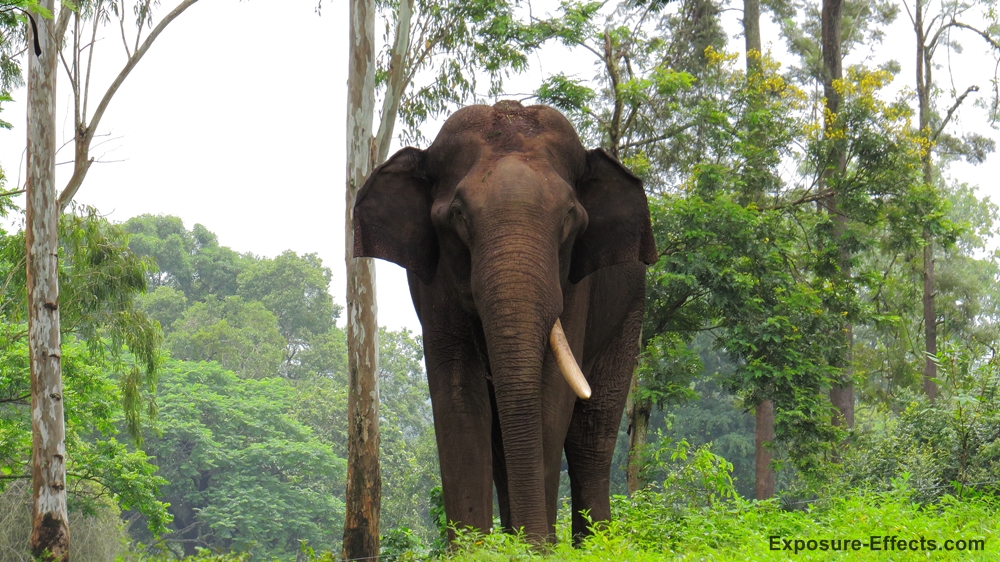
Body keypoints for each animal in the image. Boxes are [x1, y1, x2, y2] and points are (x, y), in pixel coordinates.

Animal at [353, 100, 657, 544]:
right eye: (458, 215)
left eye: (570, 216)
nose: (537, 541)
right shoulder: (433, 282)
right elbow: (459, 394)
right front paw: (477, 548)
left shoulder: (575, 283)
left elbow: (551, 397)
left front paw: (537, 548)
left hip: (630, 308)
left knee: (591, 436)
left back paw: (598, 543)